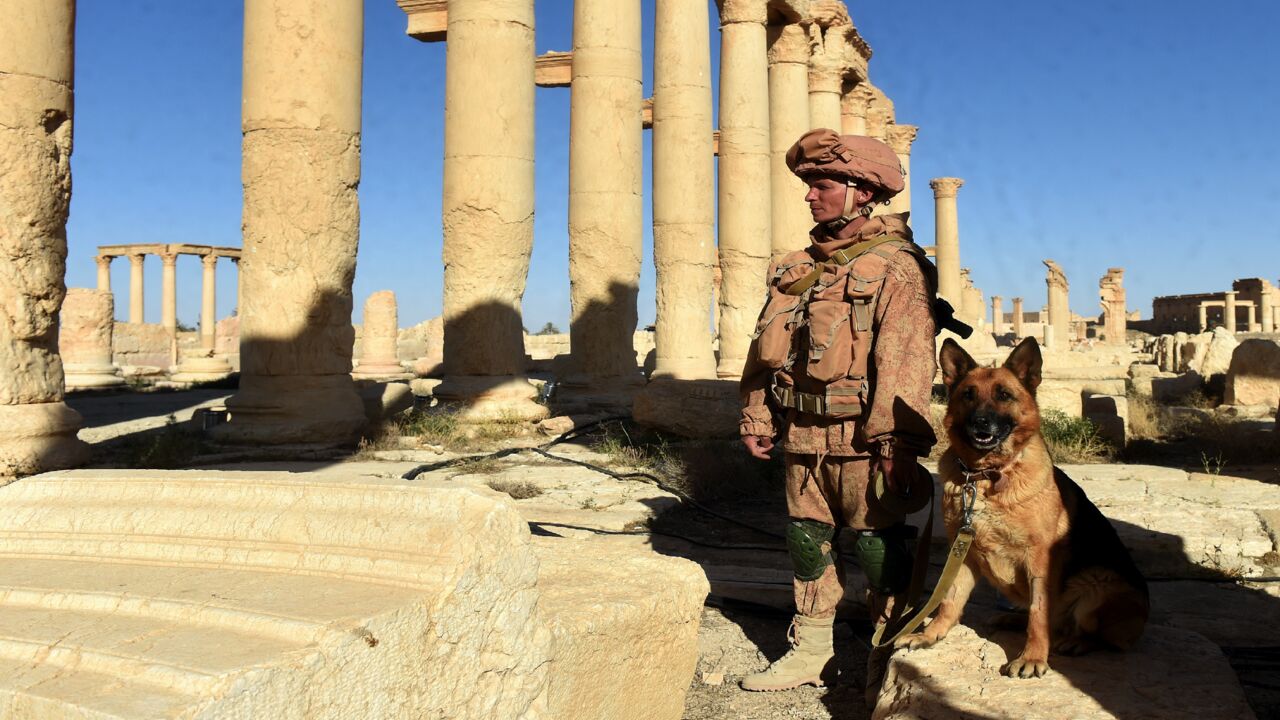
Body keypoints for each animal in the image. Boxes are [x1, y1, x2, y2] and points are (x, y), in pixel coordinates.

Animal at [890, 335, 1152, 671]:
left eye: (1004, 395)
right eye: (968, 395)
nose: (980, 423)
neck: (987, 476)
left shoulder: (1039, 559)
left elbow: (1039, 613)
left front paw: (1032, 656)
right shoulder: (961, 552)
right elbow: (949, 598)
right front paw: (931, 635)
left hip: (1098, 584)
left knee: (1089, 632)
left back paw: (1076, 641)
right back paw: (1013, 620)